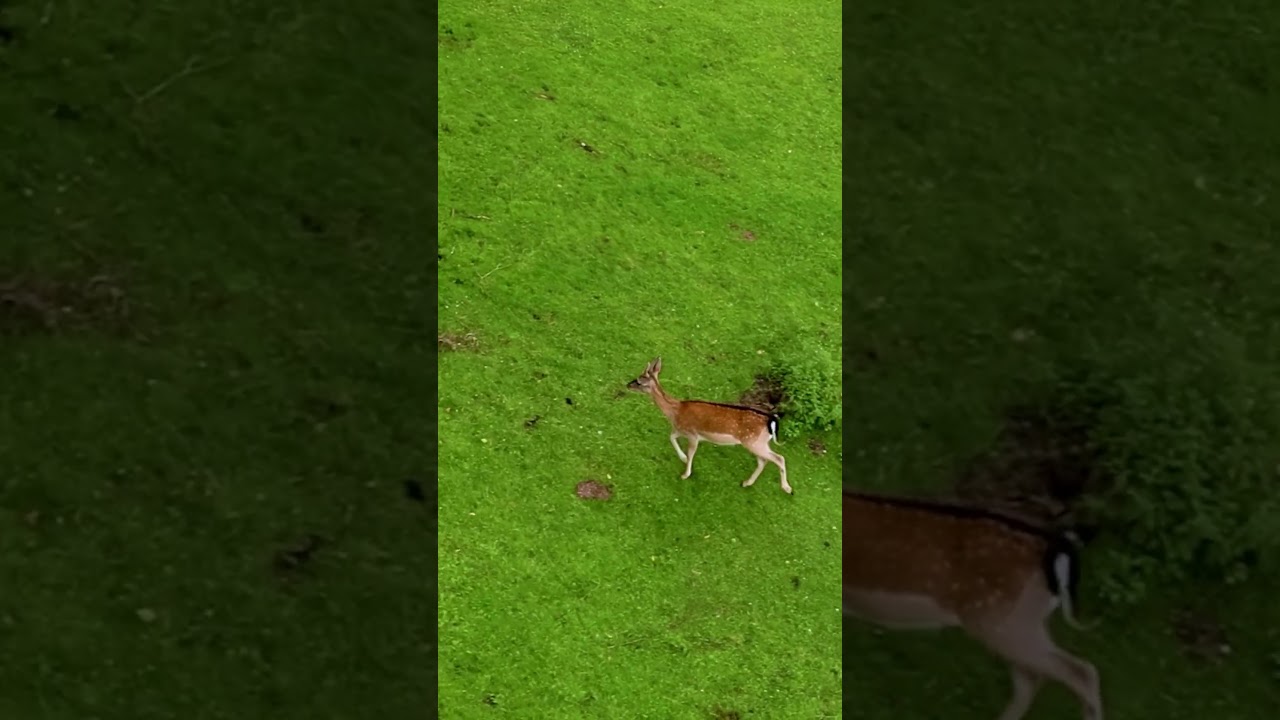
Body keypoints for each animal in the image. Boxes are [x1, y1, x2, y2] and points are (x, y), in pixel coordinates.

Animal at [626, 356, 791, 494]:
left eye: (639, 381)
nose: (628, 385)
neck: (675, 411)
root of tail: (771, 421)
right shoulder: (681, 430)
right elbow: (671, 437)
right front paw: (683, 458)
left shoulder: (693, 434)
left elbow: (690, 452)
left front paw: (685, 473)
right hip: (757, 443)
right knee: (764, 461)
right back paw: (746, 483)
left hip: (753, 442)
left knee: (779, 458)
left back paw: (787, 488)